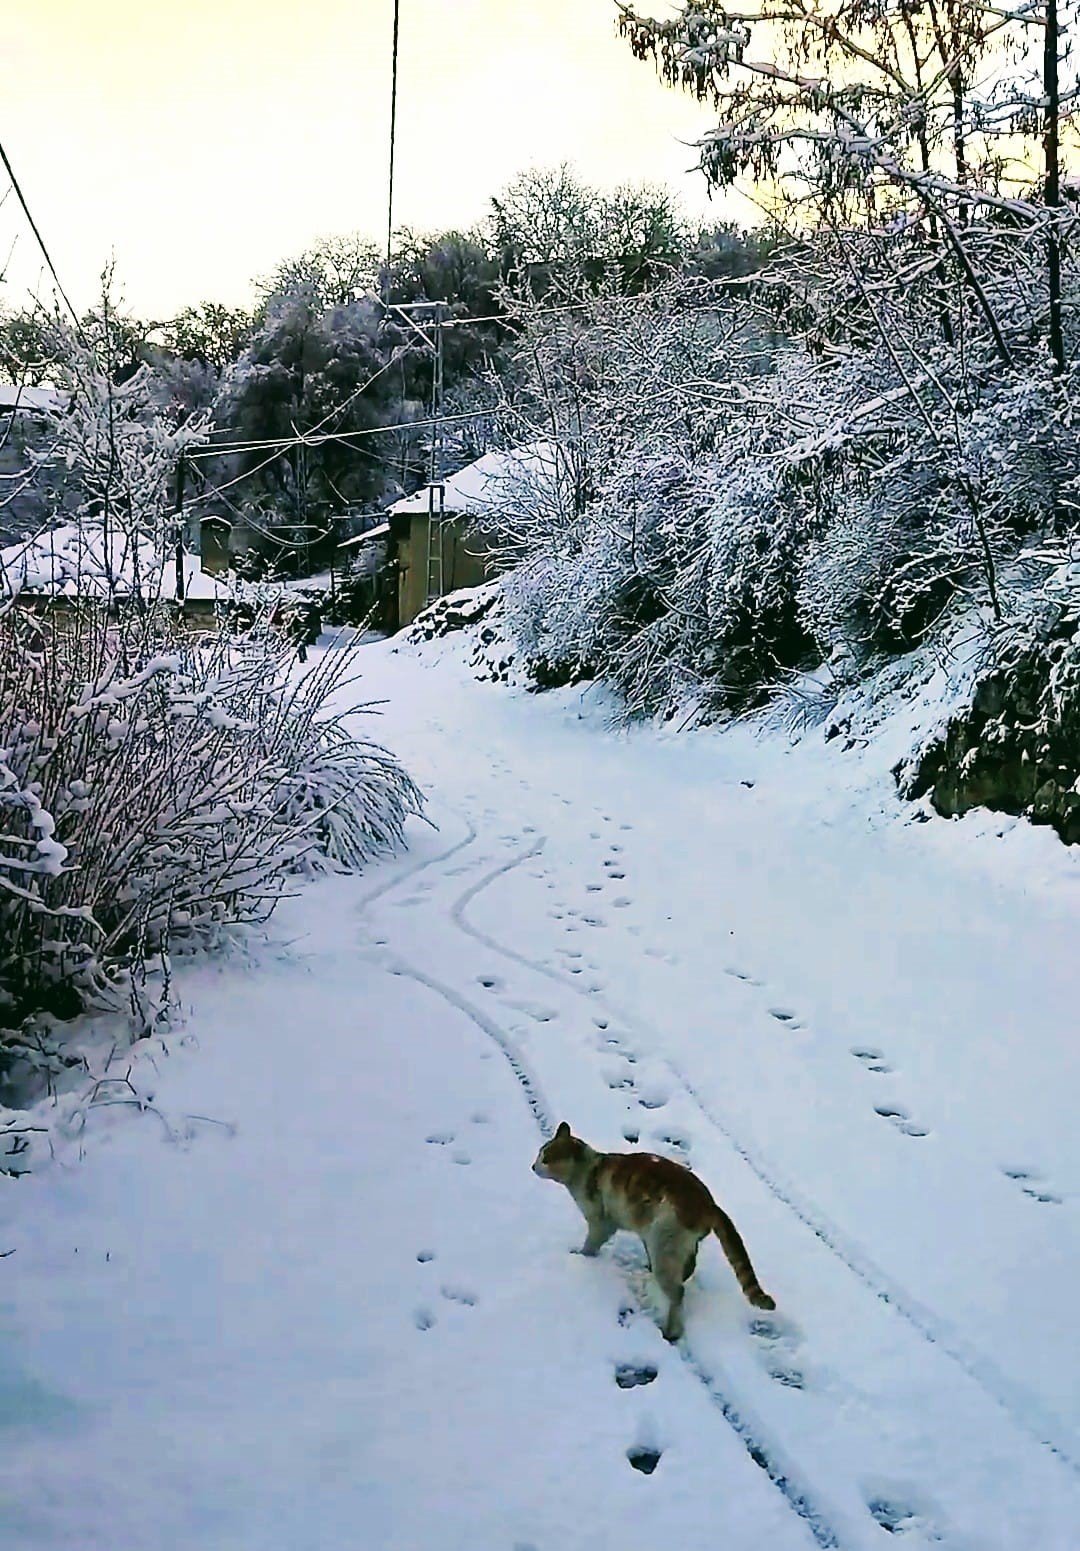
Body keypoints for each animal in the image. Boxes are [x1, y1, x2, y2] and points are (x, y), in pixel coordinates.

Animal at [533, 1122, 775, 1340]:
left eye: (546, 1158)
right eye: (539, 1153)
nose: (533, 1166)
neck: (590, 1169)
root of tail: (709, 1204)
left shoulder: (602, 1222)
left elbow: (591, 1244)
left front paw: (582, 1258)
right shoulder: (641, 1229)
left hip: (664, 1240)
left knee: (677, 1292)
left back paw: (671, 1331)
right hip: (670, 1240)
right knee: (688, 1267)